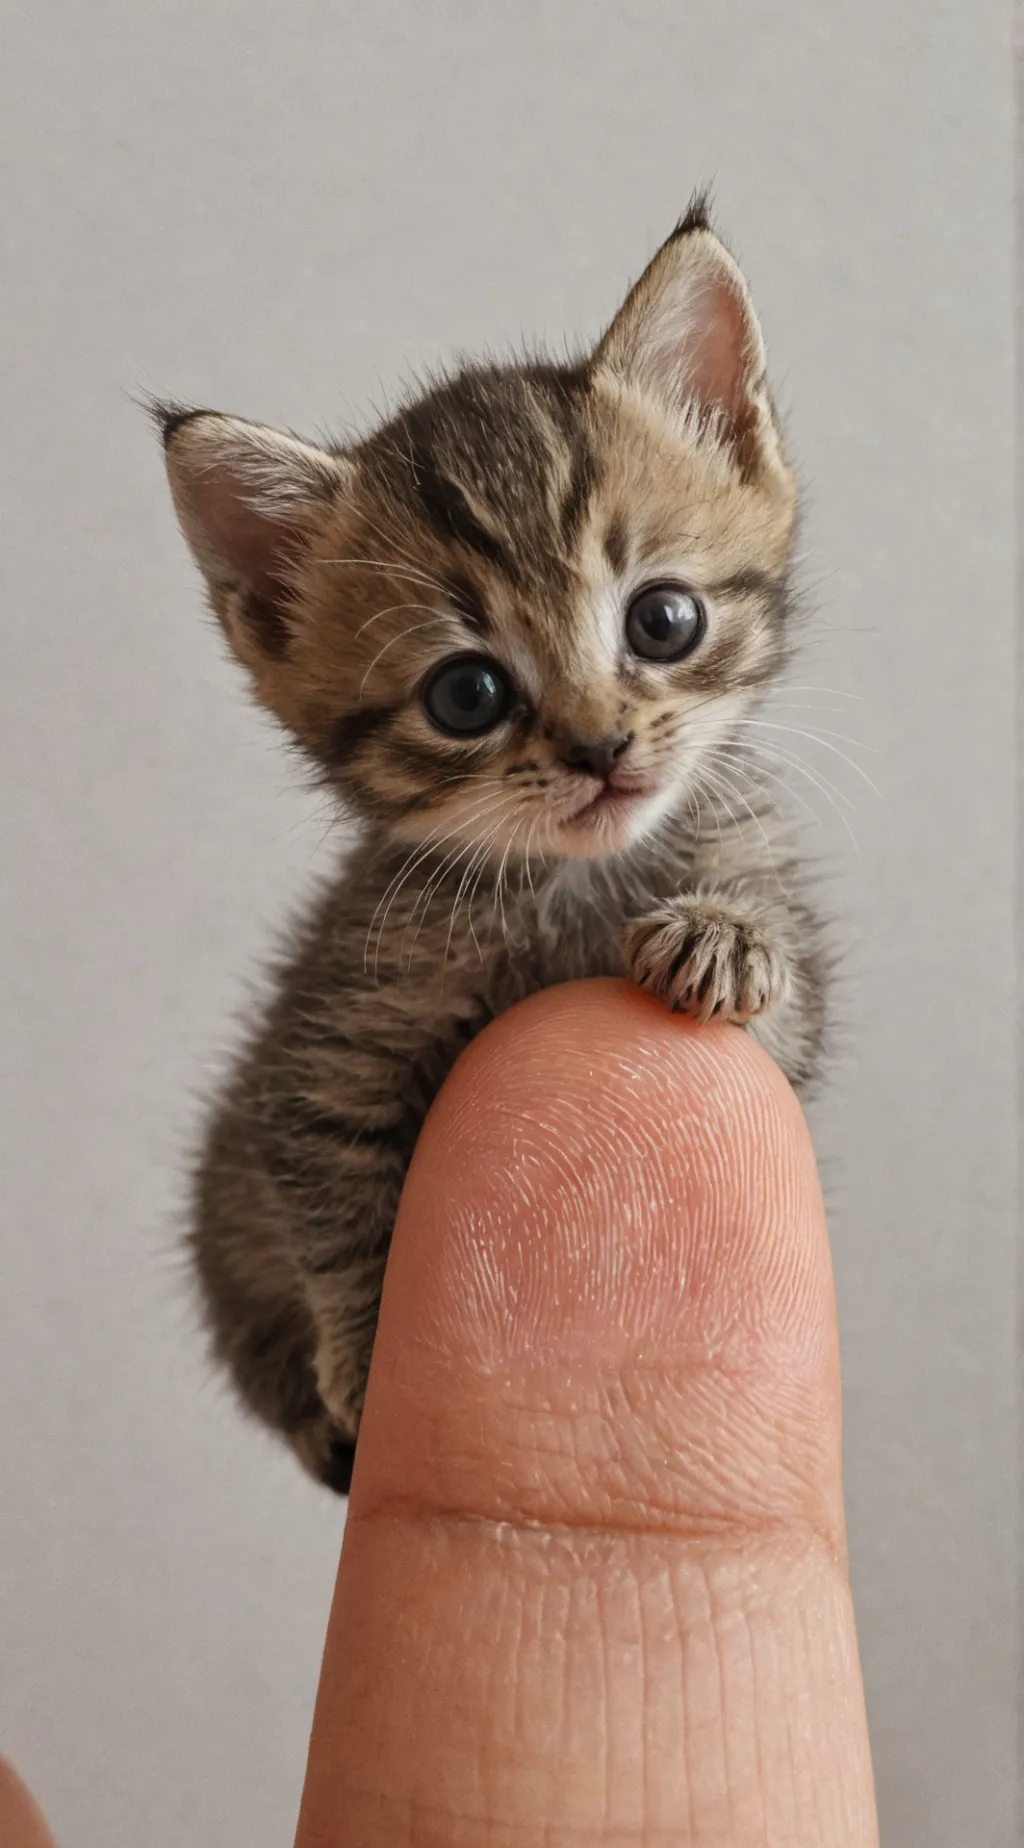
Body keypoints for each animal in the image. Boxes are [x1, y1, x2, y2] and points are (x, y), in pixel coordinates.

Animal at [158, 196, 827, 1494]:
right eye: (466, 695)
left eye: (663, 620)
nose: (600, 746)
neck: (572, 884)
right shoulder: (326, 1051)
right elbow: (335, 1207)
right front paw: (370, 1358)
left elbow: (778, 1015)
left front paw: (722, 940)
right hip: (222, 1219)